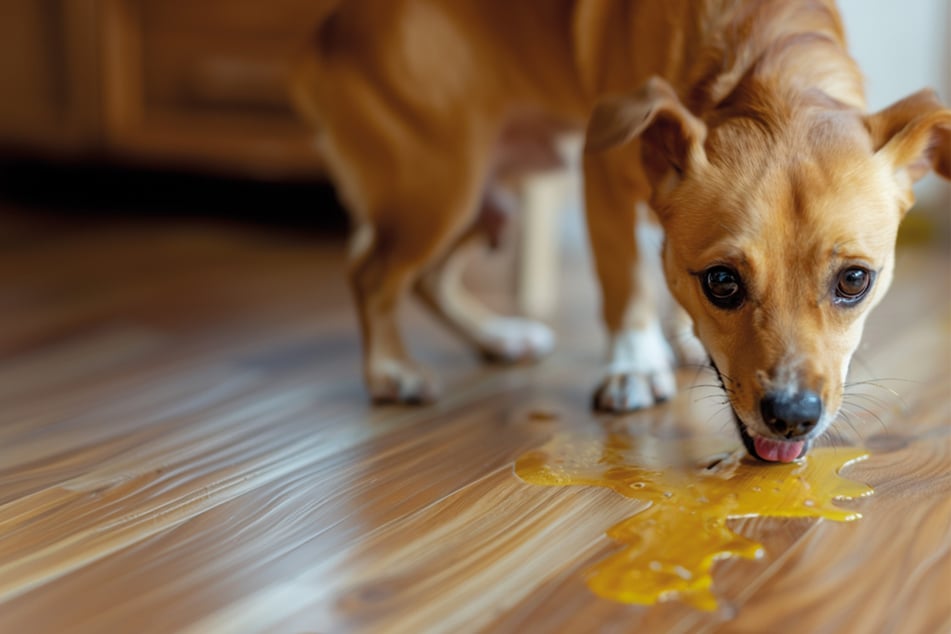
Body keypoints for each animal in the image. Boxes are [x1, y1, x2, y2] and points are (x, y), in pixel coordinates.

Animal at [292, 2, 951, 462]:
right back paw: (392, 372)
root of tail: (327, 28)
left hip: (487, 195)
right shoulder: (601, 174)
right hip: (439, 185)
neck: (764, 65)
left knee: (426, 279)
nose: (792, 417)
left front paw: (677, 340)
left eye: (855, 280)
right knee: (373, 275)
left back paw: (500, 338)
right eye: (721, 282)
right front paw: (634, 365)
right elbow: (626, 280)